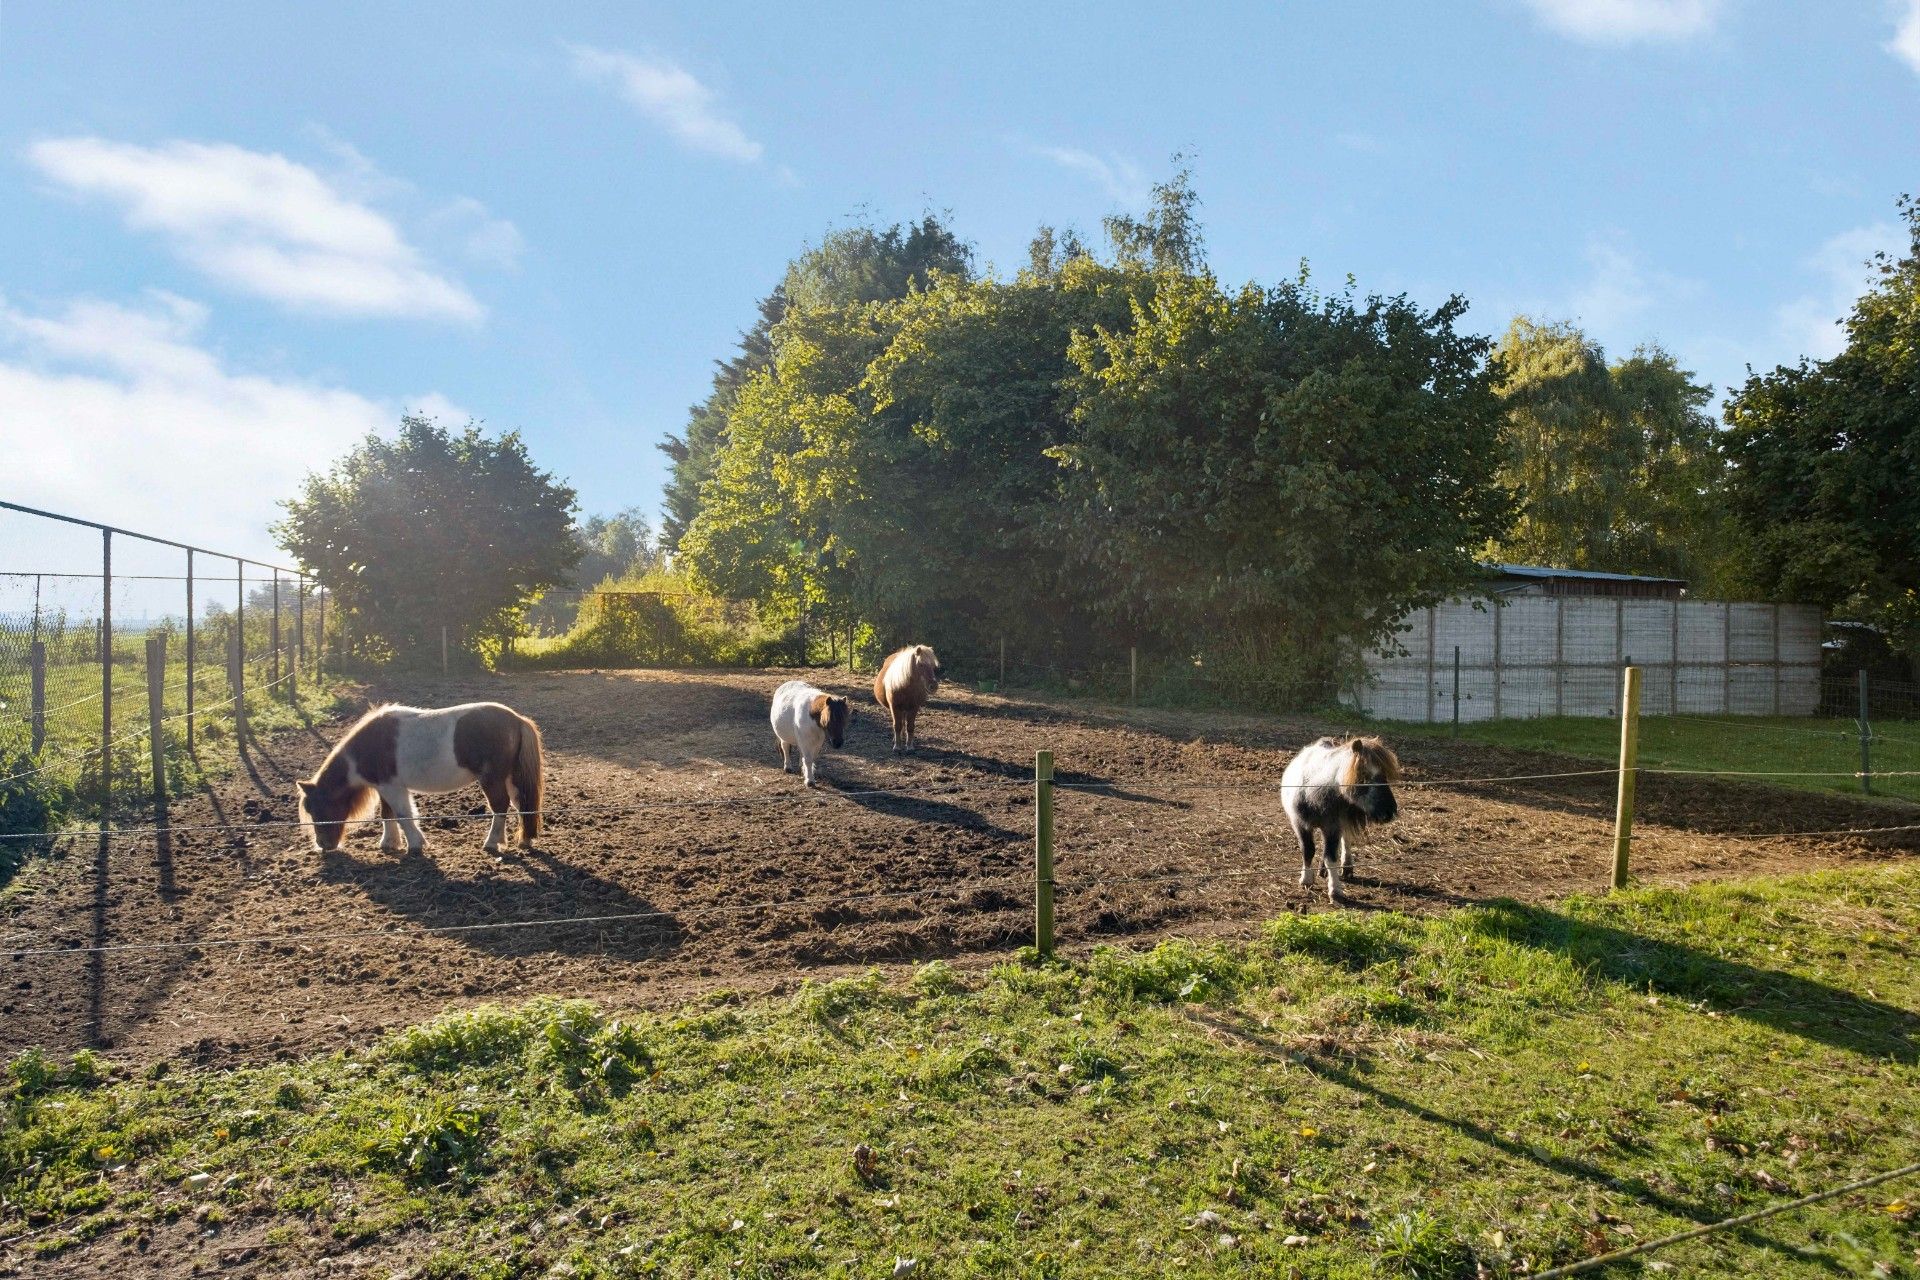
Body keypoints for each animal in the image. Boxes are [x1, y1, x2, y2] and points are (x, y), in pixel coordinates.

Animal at [295, 706, 545, 855]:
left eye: (317, 809)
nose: (323, 845)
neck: (368, 746)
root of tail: (517, 719)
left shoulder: (391, 787)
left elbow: (403, 814)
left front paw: (415, 844)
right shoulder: (385, 787)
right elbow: (388, 814)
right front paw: (389, 843)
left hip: (492, 779)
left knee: (500, 806)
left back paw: (492, 842)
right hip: (511, 779)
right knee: (520, 805)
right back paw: (523, 841)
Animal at [1282, 736, 1405, 905]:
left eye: (1384, 776)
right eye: (1364, 776)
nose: (1389, 812)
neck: (1312, 792)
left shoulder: (1332, 827)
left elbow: (1331, 857)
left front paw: (1335, 891)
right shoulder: (1300, 824)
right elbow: (1308, 850)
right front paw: (1306, 879)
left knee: (1345, 840)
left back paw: (1346, 866)